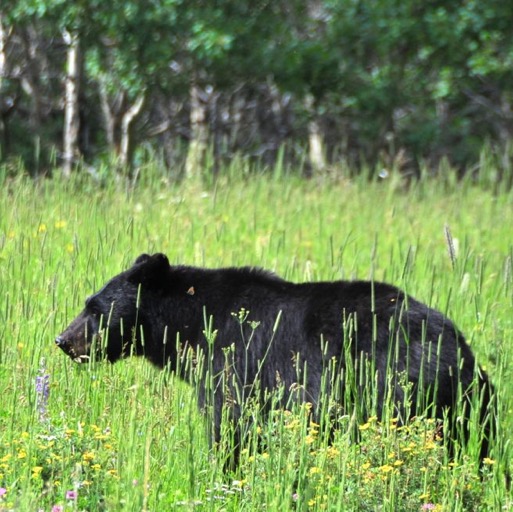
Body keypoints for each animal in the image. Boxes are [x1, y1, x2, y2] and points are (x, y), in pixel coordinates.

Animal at [57, 252, 496, 464]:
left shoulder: (233, 364)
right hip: (466, 409)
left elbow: (229, 425)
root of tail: (461, 350)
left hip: (398, 388)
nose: (63, 340)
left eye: (93, 307)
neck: (194, 323)